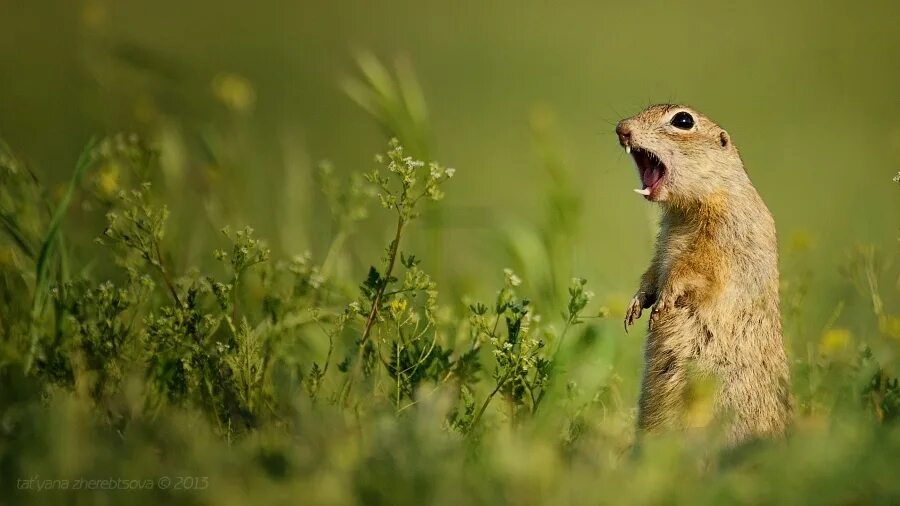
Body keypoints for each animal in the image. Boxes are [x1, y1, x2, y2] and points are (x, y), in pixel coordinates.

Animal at [616, 104, 792, 442]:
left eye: (683, 120)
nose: (621, 129)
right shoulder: (662, 247)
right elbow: (652, 272)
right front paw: (636, 305)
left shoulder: (719, 241)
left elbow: (693, 271)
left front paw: (663, 303)